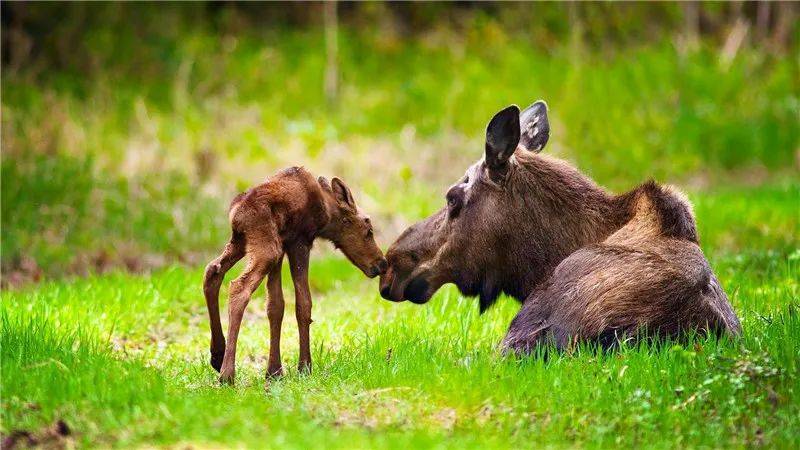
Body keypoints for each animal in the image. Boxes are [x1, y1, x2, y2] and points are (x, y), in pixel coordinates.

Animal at [202, 167, 386, 384]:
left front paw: (274, 371)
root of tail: (235, 214)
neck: (326, 215)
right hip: (266, 248)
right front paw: (304, 366)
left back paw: (217, 355)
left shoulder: (283, 246)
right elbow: (303, 303)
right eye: (369, 230)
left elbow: (275, 306)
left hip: (243, 242)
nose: (382, 264)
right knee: (239, 287)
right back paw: (227, 374)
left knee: (212, 270)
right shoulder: (300, 241)